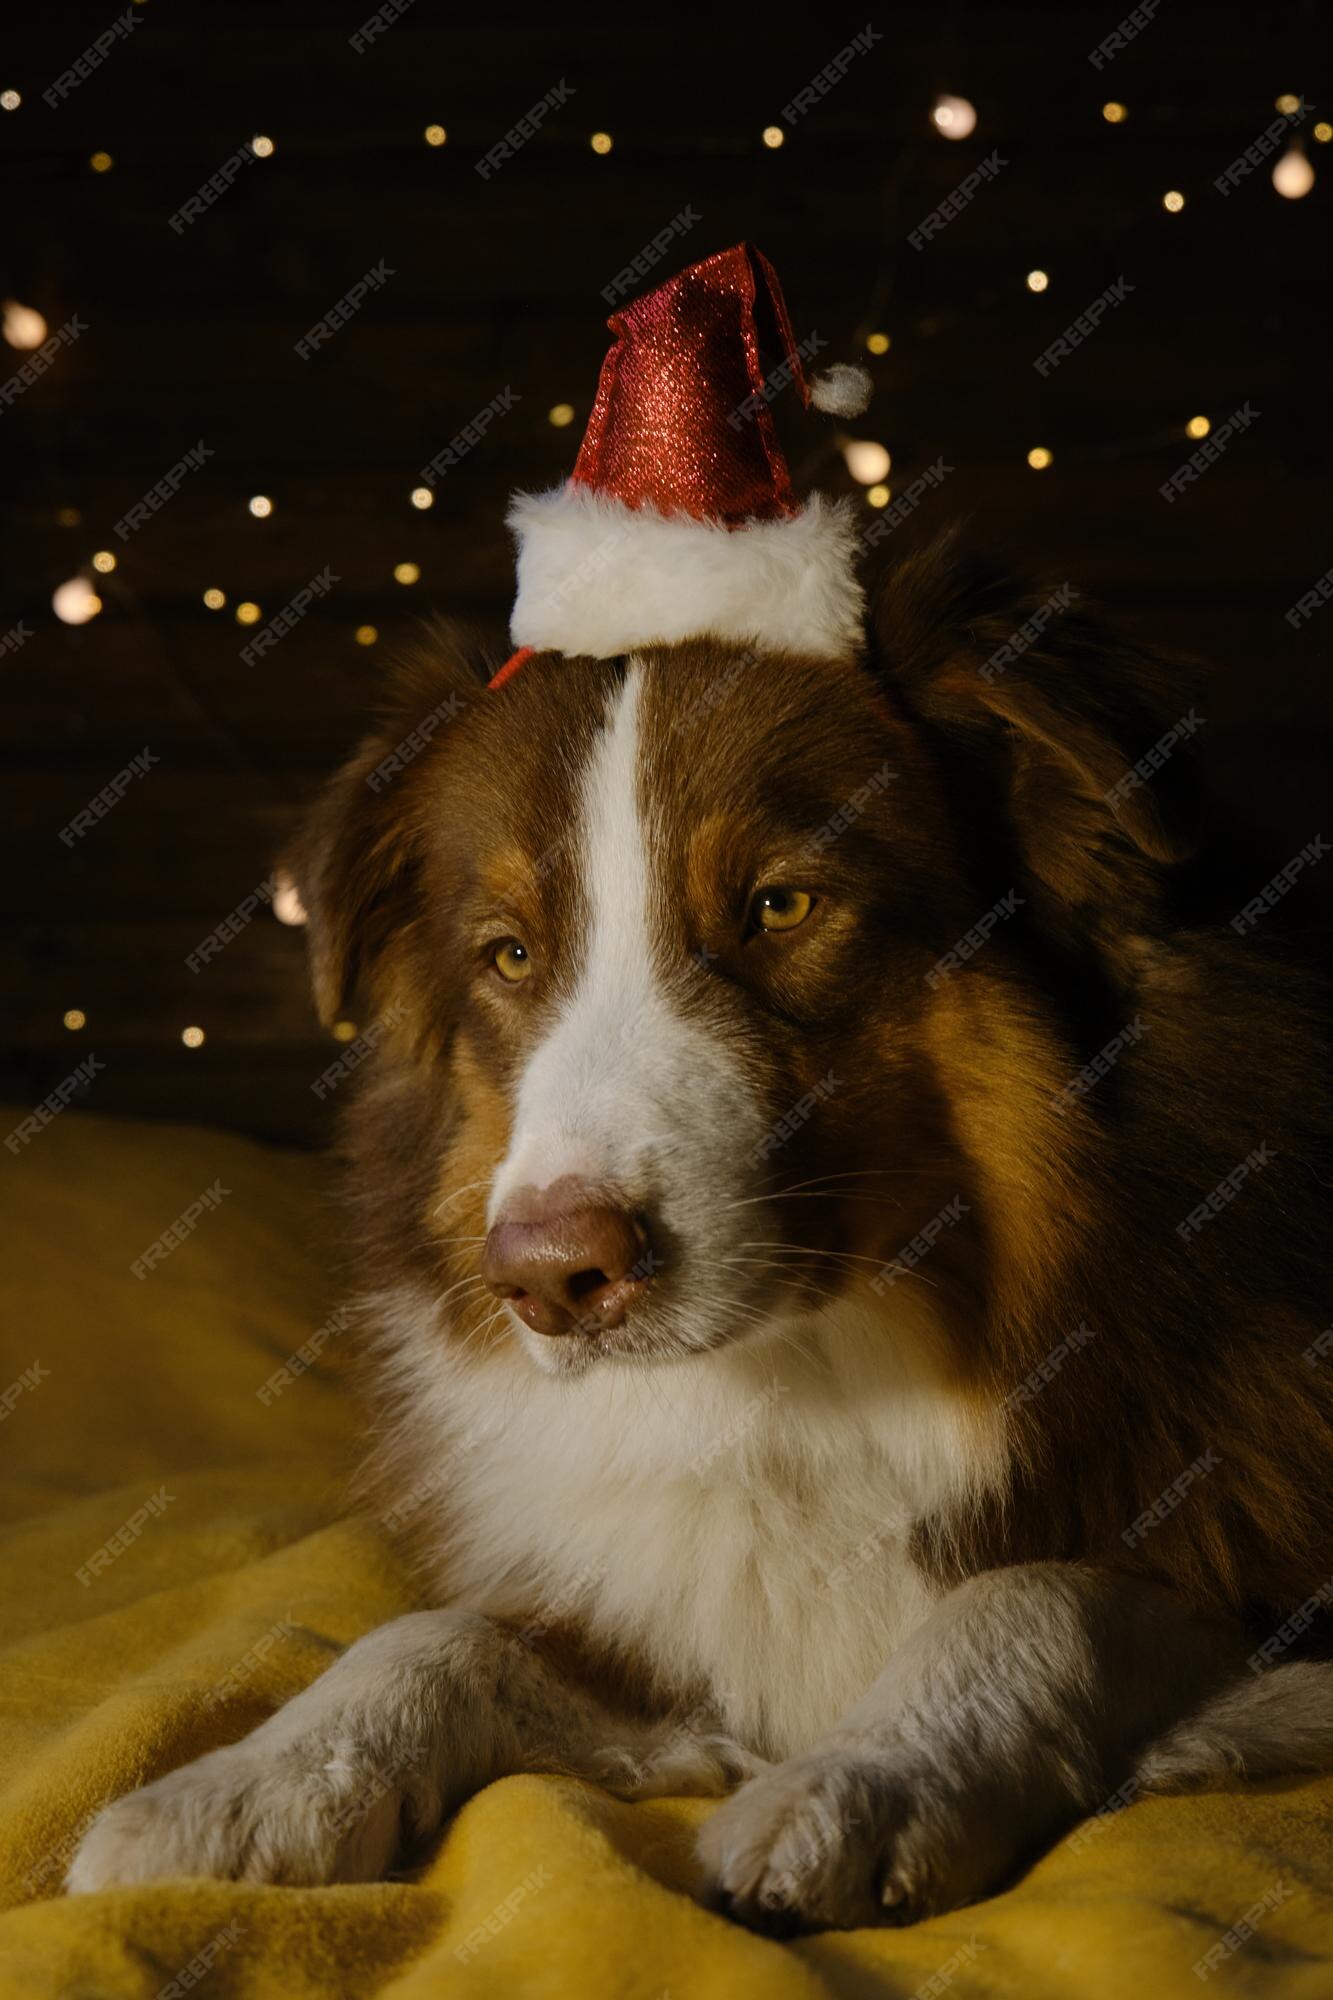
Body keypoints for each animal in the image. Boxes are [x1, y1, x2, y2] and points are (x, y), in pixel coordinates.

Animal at [67, 528, 1320, 1920]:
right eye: (508, 955)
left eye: (780, 907)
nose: (552, 1277)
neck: (805, 1382)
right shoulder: (643, 1611)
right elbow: (433, 1634)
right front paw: (244, 1782)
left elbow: (1041, 1587)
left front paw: (860, 1778)